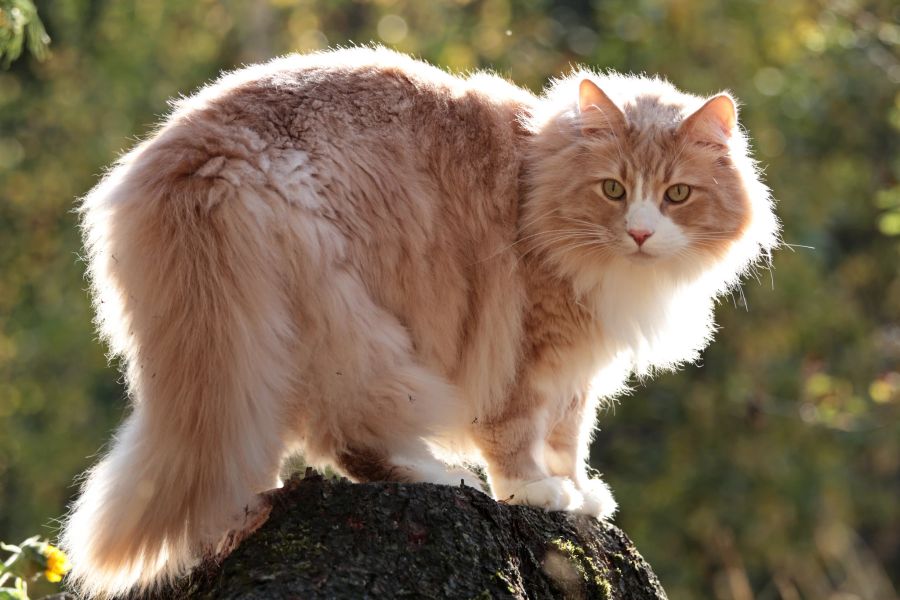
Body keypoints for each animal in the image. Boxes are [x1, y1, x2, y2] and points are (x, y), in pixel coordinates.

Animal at [63, 45, 780, 596]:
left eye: (677, 195)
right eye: (613, 189)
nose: (639, 232)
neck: (537, 178)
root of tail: (203, 156)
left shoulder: (577, 368)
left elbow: (570, 436)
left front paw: (580, 492)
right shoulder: (531, 348)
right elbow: (523, 432)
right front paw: (536, 492)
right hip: (354, 327)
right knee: (347, 436)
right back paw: (443, 475)